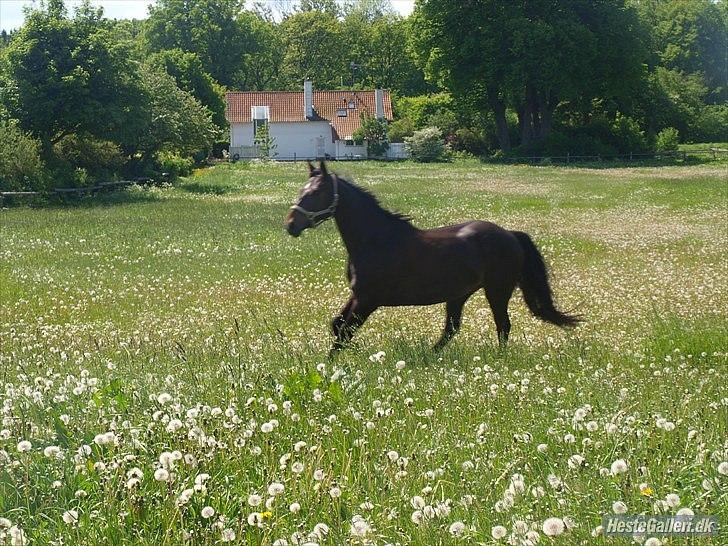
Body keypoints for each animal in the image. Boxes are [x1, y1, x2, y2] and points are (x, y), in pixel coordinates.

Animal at [284, 159, 580, 352]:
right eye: (301, 191)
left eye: (317, 192)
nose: (291, 225)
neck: (376, 240)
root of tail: (509, 234)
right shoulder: (358, 295)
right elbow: (337, 326)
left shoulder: (368, 299)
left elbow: (345, 331)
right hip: (459, 294)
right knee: (452, 328)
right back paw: (431, 356)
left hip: (497, 290)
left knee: (502, 325)